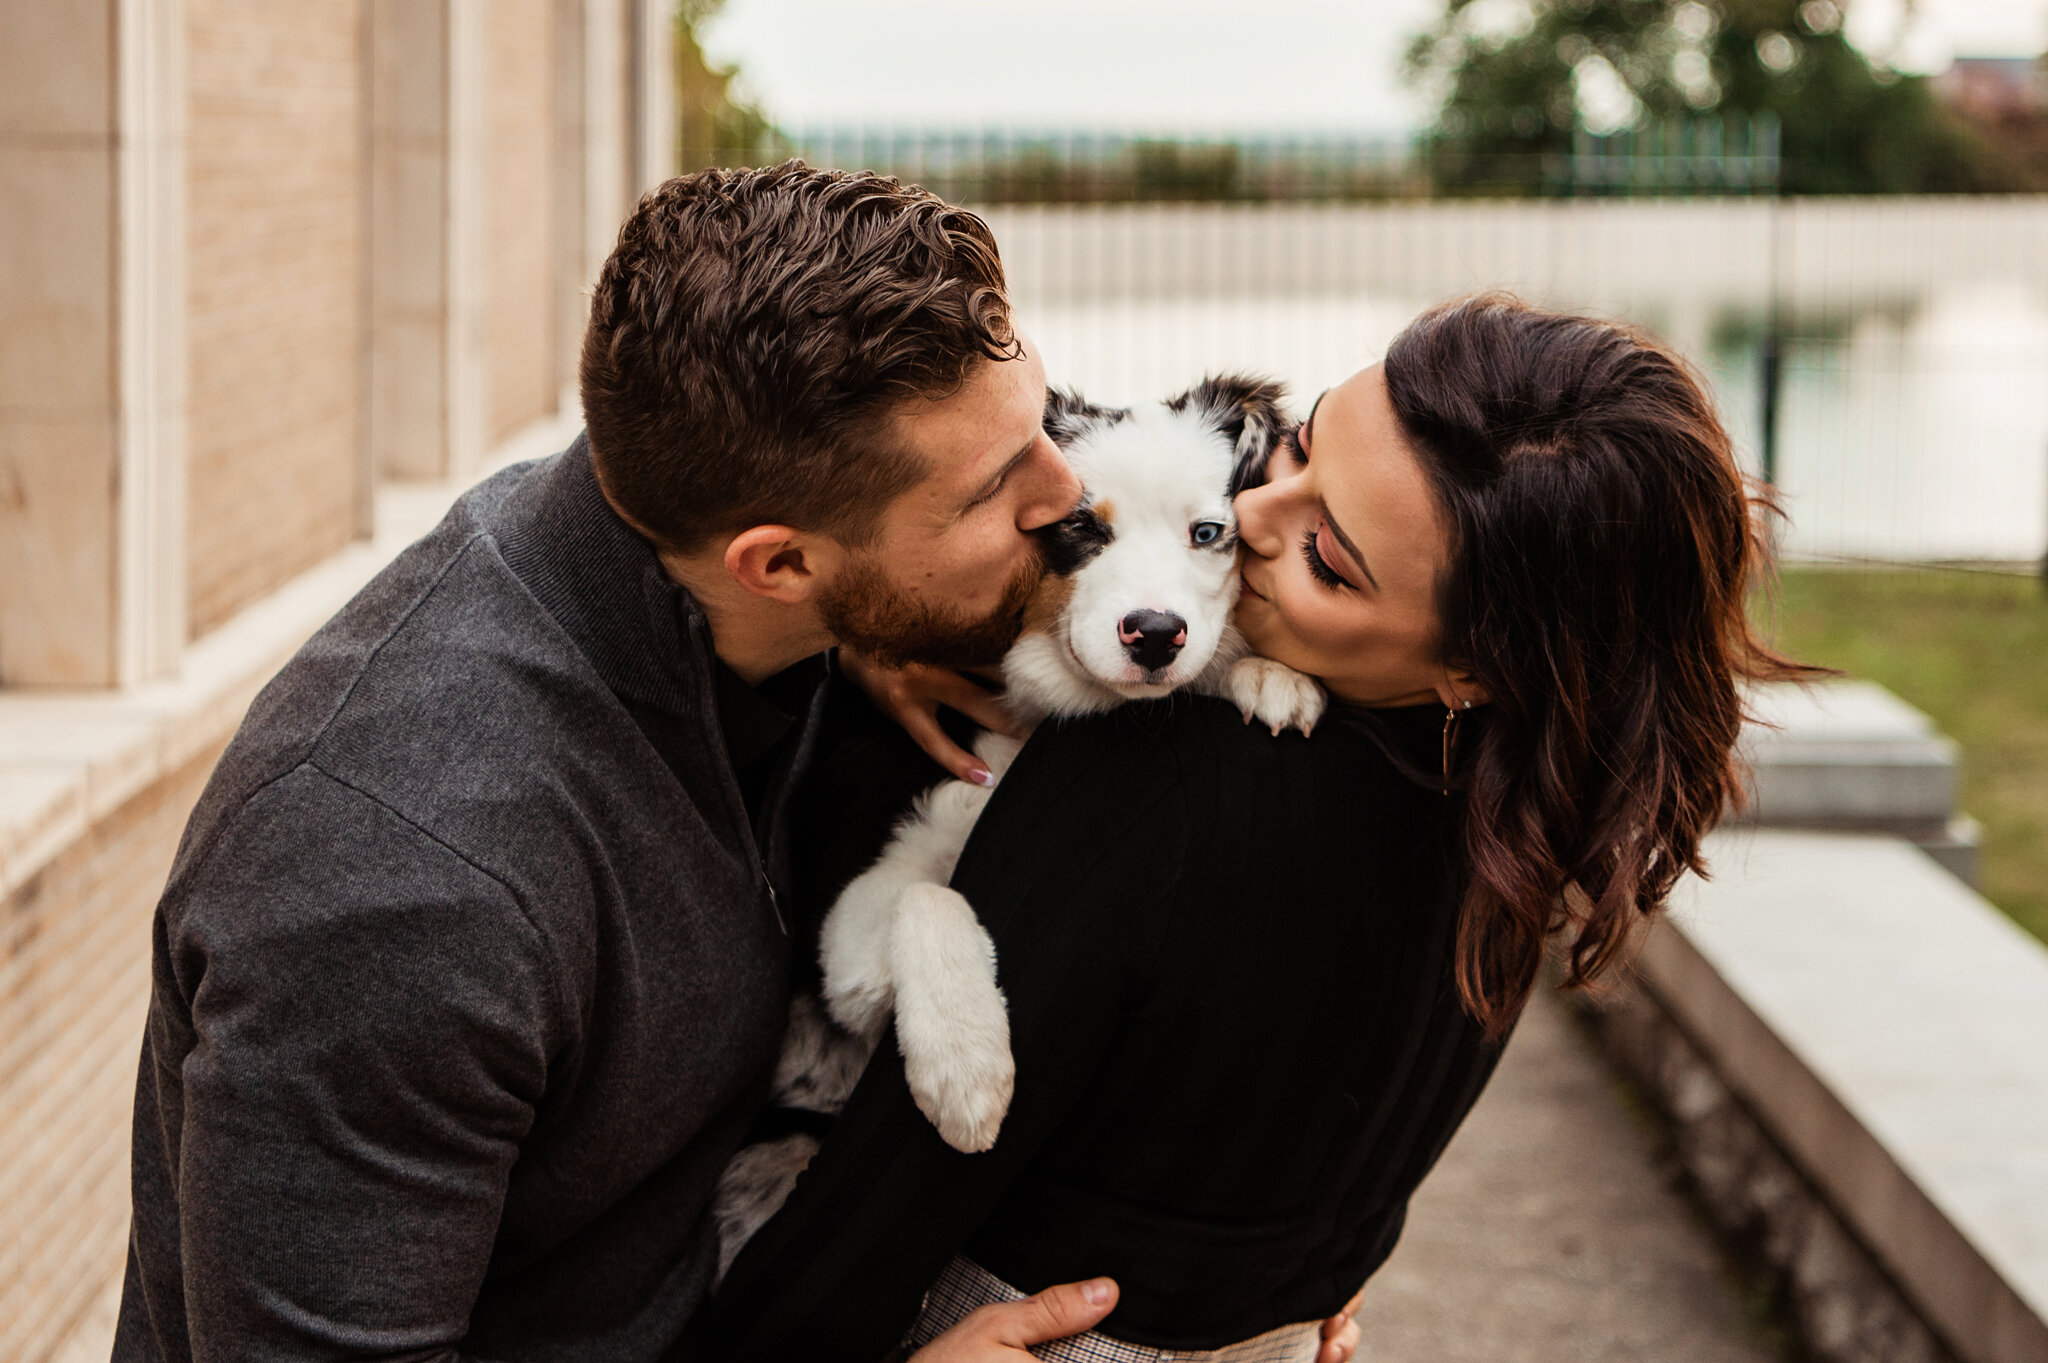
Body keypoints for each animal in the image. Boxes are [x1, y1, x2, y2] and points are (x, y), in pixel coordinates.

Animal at [712, 372, 1327, 1277]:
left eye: (1209, 533)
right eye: (1080, 527)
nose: (1154, 634)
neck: (1044, 714)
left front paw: (1265, 672)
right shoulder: (846, 933)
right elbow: (925, 898)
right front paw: (965, 1068)